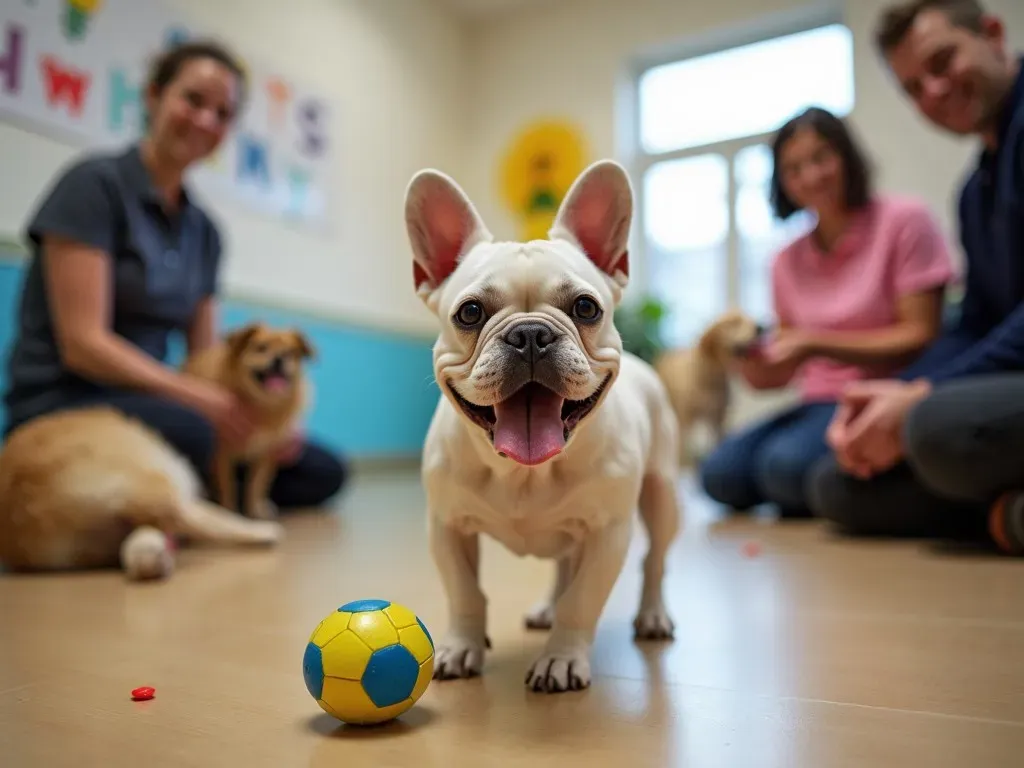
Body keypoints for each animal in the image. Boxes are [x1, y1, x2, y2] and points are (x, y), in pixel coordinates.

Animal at [183, 325, 311, 524]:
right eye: (261, 348)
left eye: (289, 353)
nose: (279, 358)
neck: (262, 403)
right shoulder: (222, 454)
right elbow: (228, 487)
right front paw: (229, 513)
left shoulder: (265, 455)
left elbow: (256, 487)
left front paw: (253, 513)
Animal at [651, 309, 765, 466]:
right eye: (734, 322)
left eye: (750, 318)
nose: (761, 328)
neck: (712, 378)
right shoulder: (686, 419)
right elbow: (684, 452)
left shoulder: (718, 418)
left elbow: (718, 442)